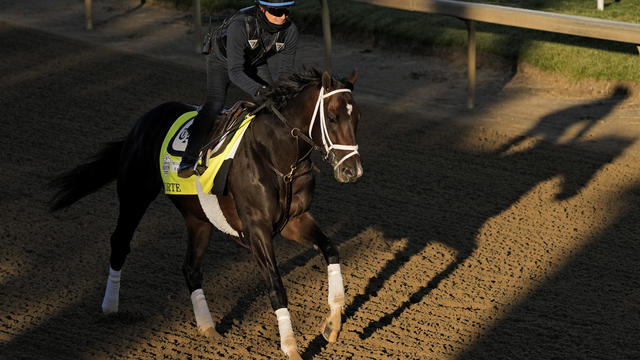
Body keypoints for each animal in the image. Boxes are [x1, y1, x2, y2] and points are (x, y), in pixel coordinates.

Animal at [50, 69, 362, 358]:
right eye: (332, 118)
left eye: (357, 118)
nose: (352, 171)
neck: (277, 158)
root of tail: (142, 122)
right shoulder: (257, 228)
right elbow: (275, 285)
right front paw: (291, 348)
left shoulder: (294, 220)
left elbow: (331, 249)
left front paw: (333, 323)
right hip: (134, 195)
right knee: (119, 243)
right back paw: (110, 307)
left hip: (198, 218)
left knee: (191, 267)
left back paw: (207, 327)